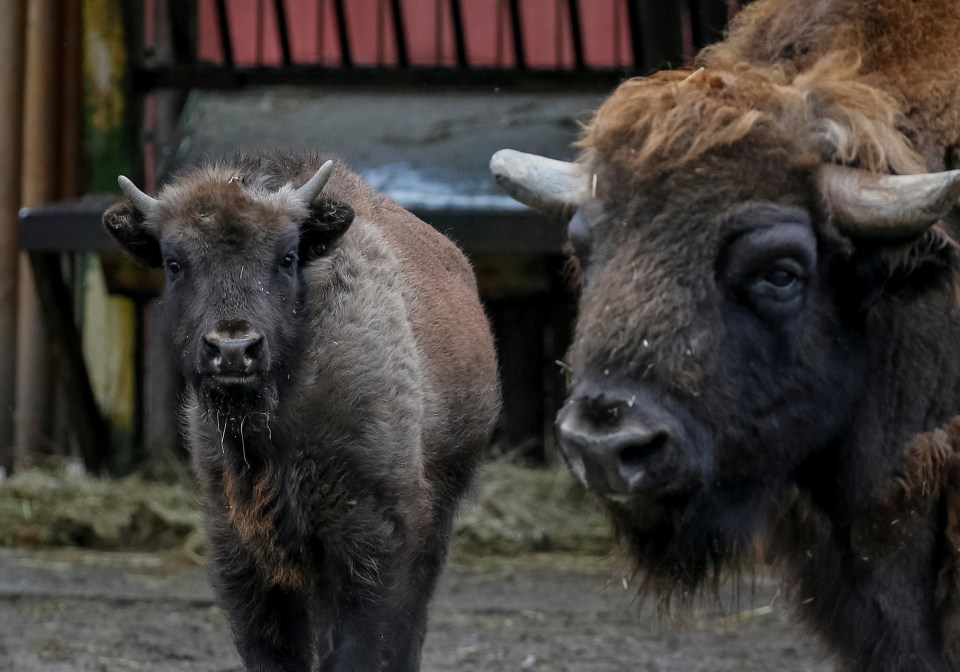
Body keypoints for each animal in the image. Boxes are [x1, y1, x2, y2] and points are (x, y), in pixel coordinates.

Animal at [101, 152, 498, 672]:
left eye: (287, 257)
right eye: (174, 262)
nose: (233, 350)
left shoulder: (372, 543)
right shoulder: (241, 552)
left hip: (436, 515)